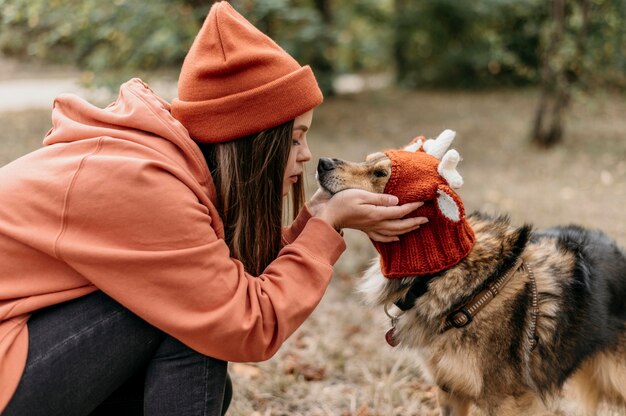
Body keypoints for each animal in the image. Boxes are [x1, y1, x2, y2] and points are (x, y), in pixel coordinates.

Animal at [314, 131, 624, 416]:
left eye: (380, 173)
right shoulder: (450, 389)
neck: (443, 273)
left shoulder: (506, 401)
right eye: (367, 160)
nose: (322, 162)